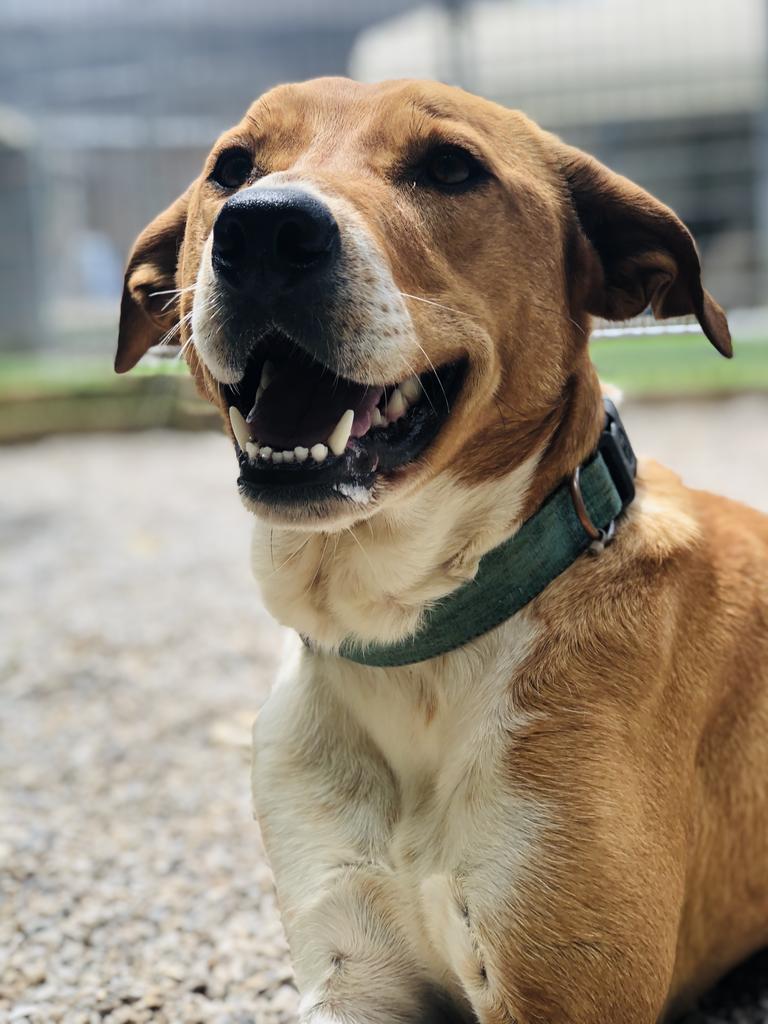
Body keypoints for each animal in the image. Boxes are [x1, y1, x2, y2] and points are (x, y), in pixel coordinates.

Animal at [114, 77, 768, 1024]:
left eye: (451, 168)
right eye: (231, 167)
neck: (407, 641)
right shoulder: (350, 971)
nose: (262, 229)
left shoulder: (565, 989)